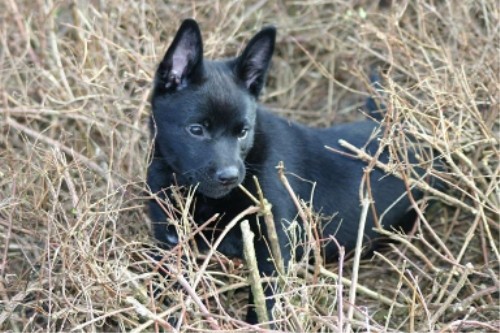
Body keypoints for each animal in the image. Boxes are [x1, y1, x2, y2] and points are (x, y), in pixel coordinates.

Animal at [148, 19, 422, 322]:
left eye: (243, 132)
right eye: (196, 130)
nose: (230, 177)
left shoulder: (273, 247)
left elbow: (263, 303)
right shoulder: (170, 243)